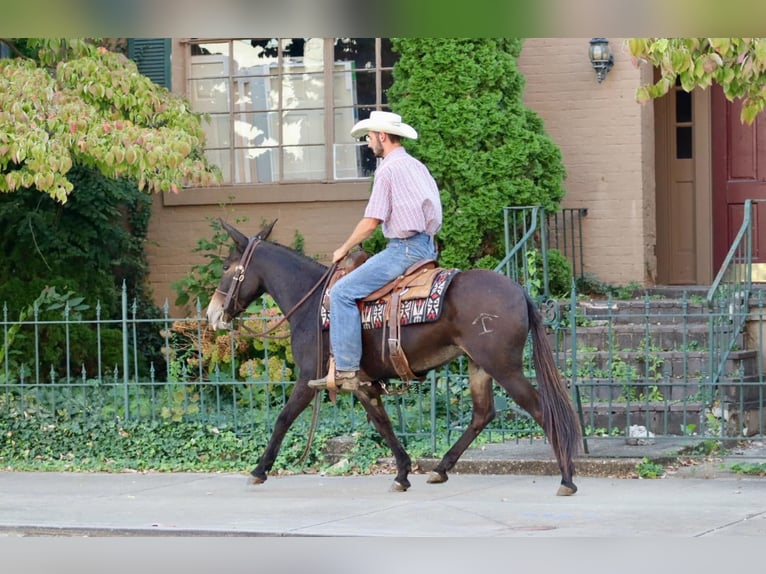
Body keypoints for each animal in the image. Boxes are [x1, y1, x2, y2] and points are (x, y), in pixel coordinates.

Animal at [206, 219, 584, 496]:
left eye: (226, 266)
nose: (212, 313)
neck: (312, 303)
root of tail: (519, 290)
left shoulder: (308, 377)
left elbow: (283, 419)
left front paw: (259, 470)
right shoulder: (361, 382)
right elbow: (382, 423)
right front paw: (402, 473)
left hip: (503, 367)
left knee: (541, 409)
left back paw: (566, 478)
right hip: (480, 365)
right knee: (482, 414)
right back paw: (441, 469)